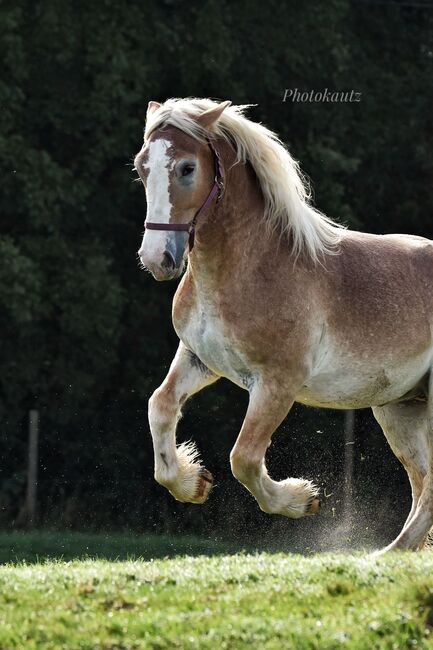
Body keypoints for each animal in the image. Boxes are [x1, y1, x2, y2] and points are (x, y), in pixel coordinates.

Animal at [133, 97, 432, 552]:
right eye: (141, 166)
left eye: (186, 168)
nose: (156, 259)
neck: (254, 267)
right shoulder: (200, 359)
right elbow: (161, 407)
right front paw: (193, 481)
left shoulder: (277, 382)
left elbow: (244, 458)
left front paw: (302, 498)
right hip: (400, 409)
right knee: (423, 483)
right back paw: (392, 553)